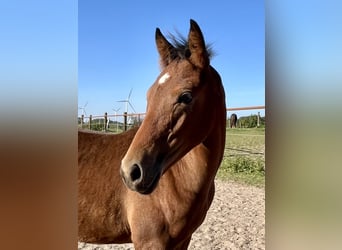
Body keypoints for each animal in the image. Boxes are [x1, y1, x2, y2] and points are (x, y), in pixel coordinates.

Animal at [78, 20, 226, 250]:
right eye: (149, 95)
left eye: (186, 96)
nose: (131, 172)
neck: (180, 180)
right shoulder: (150, 242)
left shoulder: (183, 240)